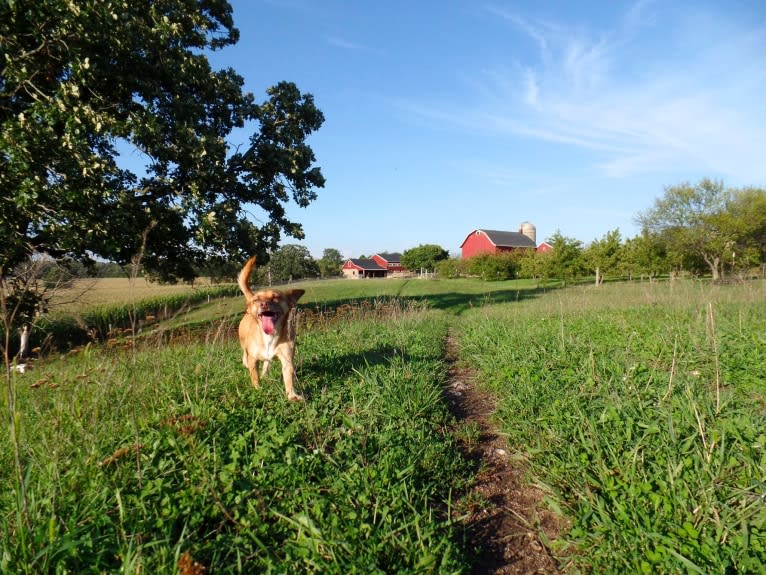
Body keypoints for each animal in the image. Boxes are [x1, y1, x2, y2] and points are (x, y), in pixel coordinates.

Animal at [237, 256, 306, 400]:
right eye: (257, 300)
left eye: (276, 297)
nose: (263, 304)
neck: (269, 336)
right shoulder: (253, 360)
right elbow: (255, 378)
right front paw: (258, 390)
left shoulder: (287, 359)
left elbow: (288, 379)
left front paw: (292, 396)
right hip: (243, 344)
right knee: (245, 356)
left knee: (267, 364)